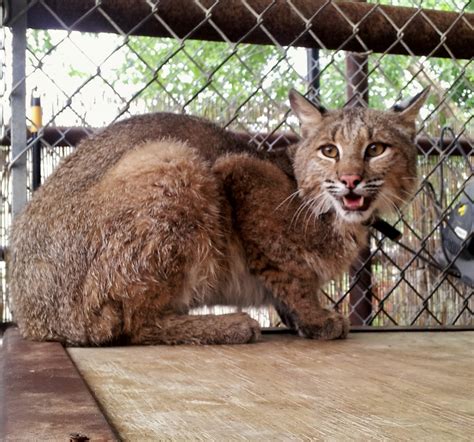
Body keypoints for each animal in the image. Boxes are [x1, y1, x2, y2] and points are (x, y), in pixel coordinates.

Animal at [9, 88, 428, 345]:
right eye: (329, 151)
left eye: (375, 149)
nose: (350, 180)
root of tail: (30, 314)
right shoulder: (238, 170)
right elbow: (289, 272)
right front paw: (314, 317)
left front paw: (300, 317)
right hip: (173, 158)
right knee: (128, 325)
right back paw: (230, 325)